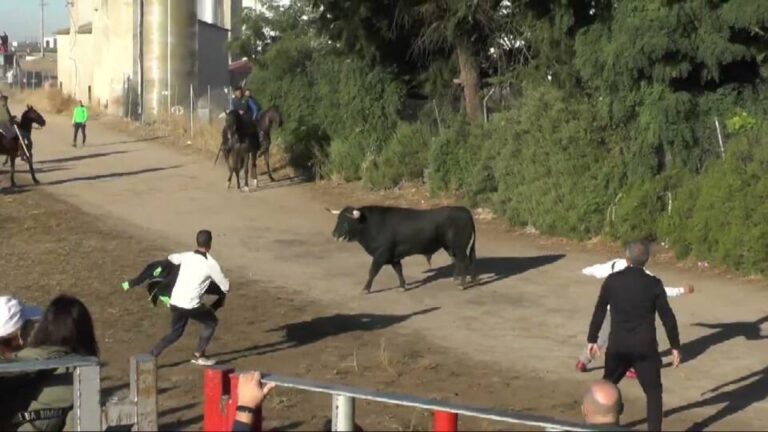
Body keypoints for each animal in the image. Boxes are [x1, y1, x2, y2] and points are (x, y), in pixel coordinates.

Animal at [328, 206, 476, 294]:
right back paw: (460, 279)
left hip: (459, 246)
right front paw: (402, 286)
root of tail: (467, 212)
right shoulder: (393, 256)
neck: (370, 225)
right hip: (451, 247)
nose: (334, 234)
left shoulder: (381, 254)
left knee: (463, 261)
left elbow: (373, 271)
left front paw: (365, 289)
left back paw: (462, 284)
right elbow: (398, 270)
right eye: (338, 219)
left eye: (346, 221)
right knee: (460, 261)